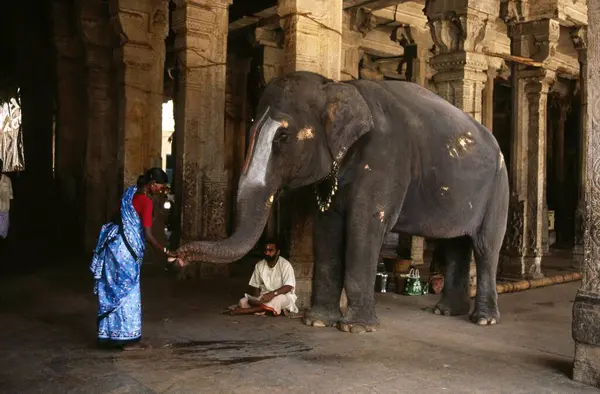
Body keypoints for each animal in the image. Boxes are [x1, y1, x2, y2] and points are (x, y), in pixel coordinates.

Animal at [172, 70, 506, 332]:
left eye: (283, 138)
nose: (177, 255)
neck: (338, 86)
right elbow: (326, 228)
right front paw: (318, 322)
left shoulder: (386, 159)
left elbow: (364, 227)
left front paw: (356, 328)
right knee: (455, 243)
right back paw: (446, 311)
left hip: (498, 185)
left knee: (484, 246)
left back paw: (484, 320)